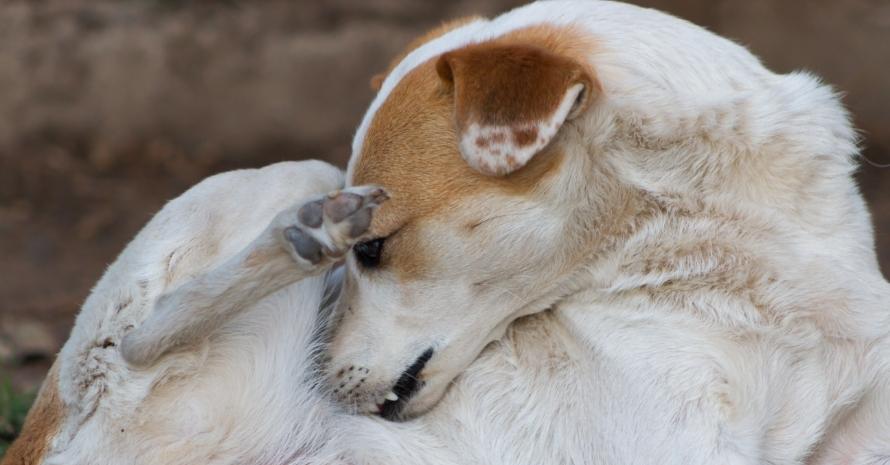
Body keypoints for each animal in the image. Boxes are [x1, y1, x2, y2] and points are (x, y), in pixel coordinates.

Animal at [6, 0, 888, 464]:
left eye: (379, 252)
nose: (321, 374)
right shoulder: (666, 444)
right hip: (290, 173)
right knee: (139, 338)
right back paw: (302, 235)